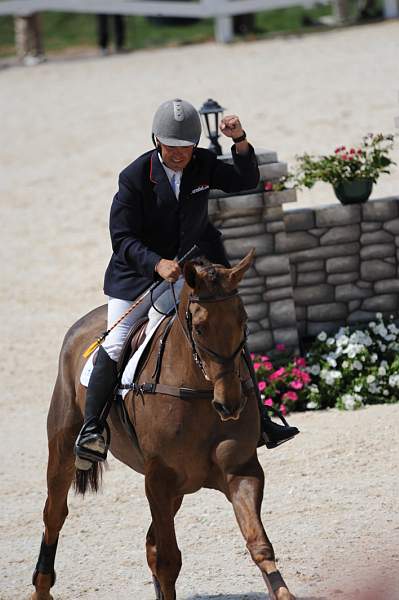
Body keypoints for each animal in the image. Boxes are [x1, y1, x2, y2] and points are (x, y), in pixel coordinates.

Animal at [31, 251, 296, 600]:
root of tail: (84, 323)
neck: (199, 390)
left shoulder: (240, 471)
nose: (230, 405)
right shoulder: (158, 480)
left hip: (178, 491)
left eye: (244, 321)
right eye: (200, 328)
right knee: (54, 515)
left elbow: (259, 545)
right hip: (64, 446)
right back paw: (41, 587)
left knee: (150, 543)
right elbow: (169, 560)